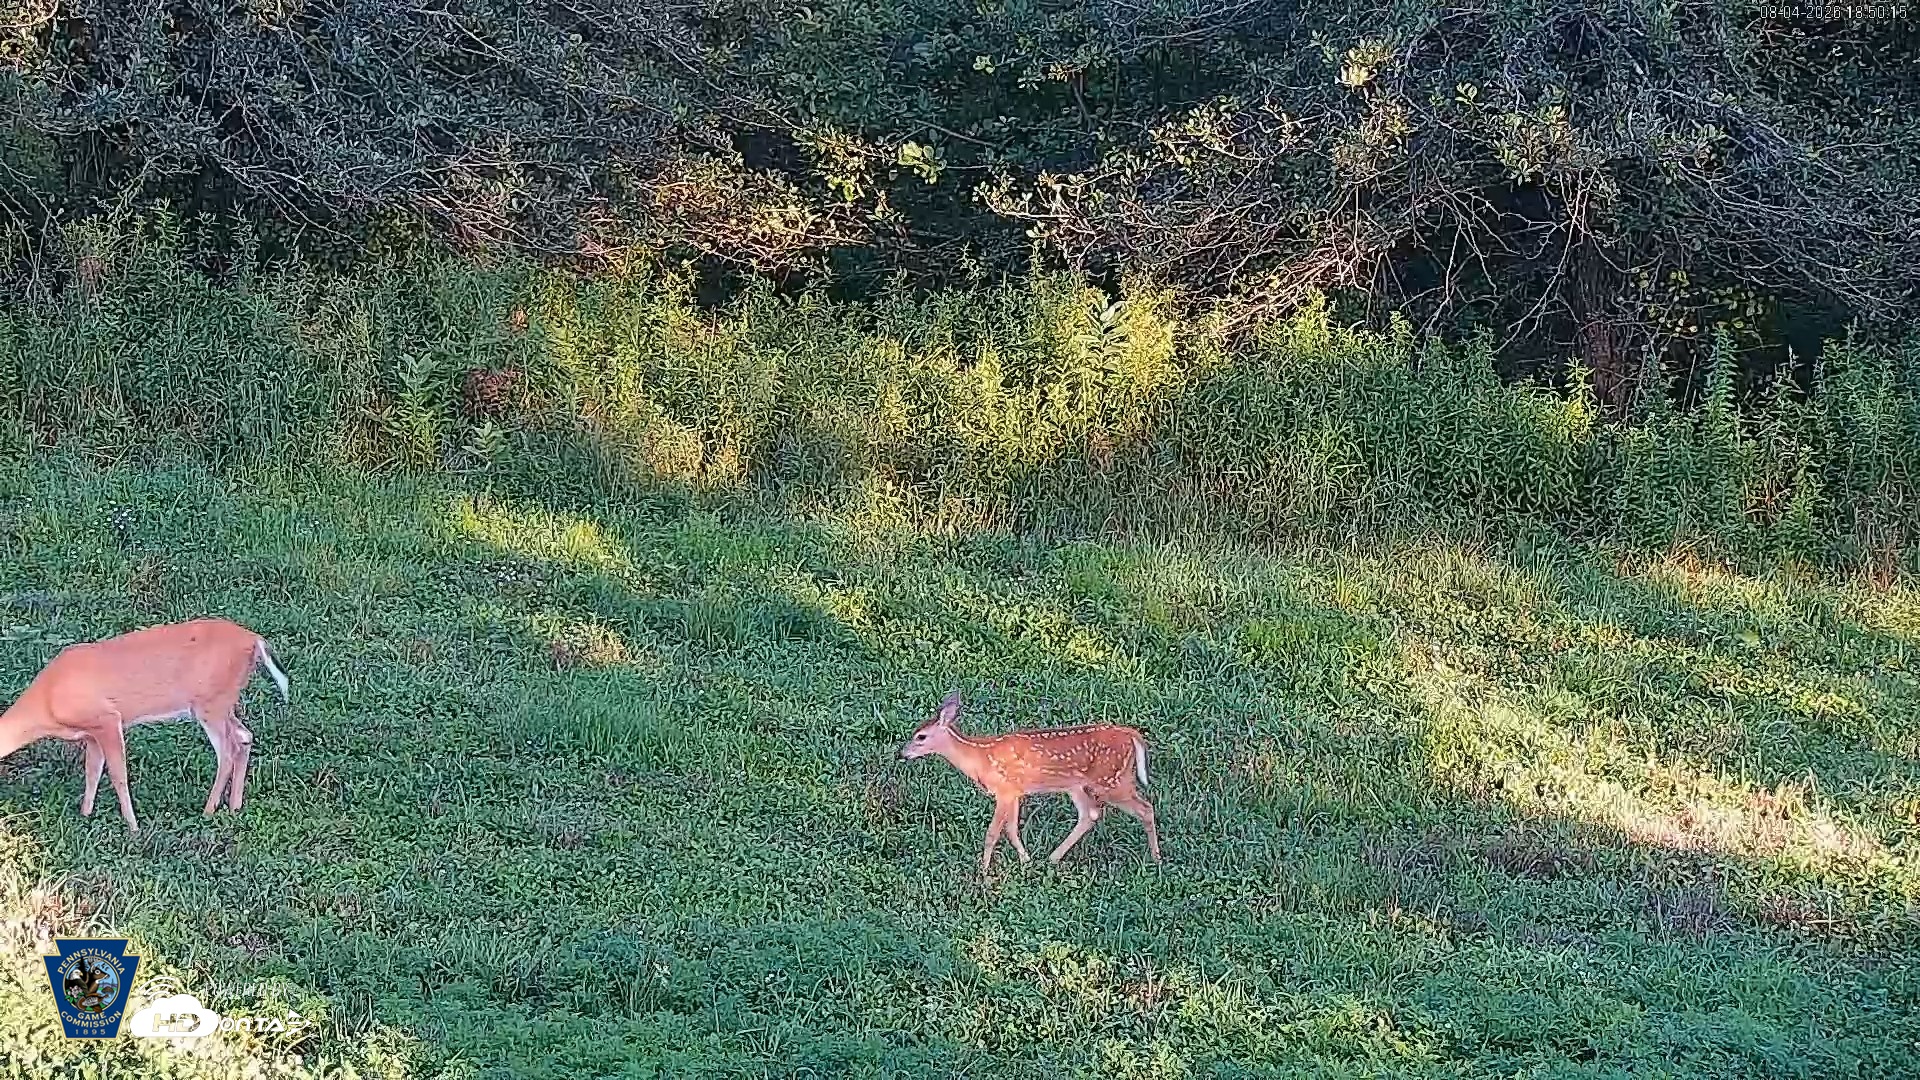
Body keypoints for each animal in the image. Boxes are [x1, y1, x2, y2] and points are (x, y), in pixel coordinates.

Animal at [0, 618, 290, 832]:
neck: (47, 703)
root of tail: (254, 639)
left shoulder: (108, 719)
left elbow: (118, 775)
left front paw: (133, 827)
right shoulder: (91, 734)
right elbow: (92, 771)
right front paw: (85, 815)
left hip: (211, 703)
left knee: (228, 751)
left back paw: (207, 811)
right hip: (223, 701)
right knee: (245, 736)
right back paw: (234, 806)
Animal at [899, 690, 1162, 874]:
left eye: (920, 736)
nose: (902, 754)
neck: (980, 758)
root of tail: (1131, 735)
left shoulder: (1004, 789)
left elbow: (993, 832)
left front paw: (983, 871)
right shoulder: (1015, 791)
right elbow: (1011, 829)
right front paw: (1025, 860)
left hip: (1112, 780)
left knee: (1145, 808)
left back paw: (1156, 858)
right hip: (1078, 785)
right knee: (1091, 814)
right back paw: (1053, 857)